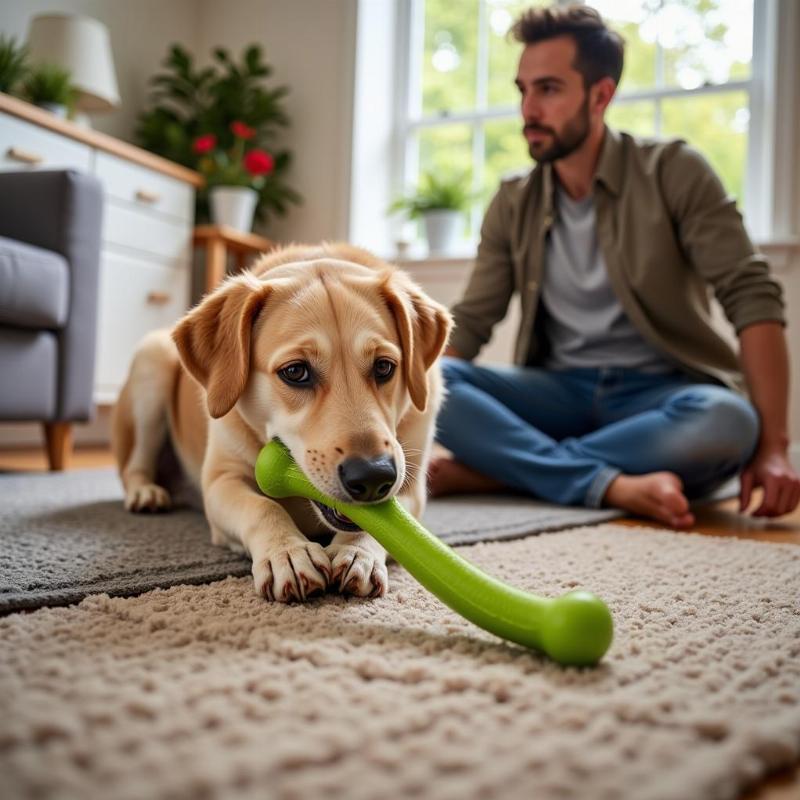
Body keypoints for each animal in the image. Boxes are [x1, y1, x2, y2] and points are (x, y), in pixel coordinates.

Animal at [112, 242, 454, 600]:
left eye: (384, 367)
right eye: (295, 371)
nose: (374, 476)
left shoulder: (411, 487)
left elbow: (381, 527)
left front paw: (356, 552)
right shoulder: (222, 480)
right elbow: (263, 507)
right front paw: (288, 553)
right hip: (151, 363)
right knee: (134, 465)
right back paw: (146, 494)